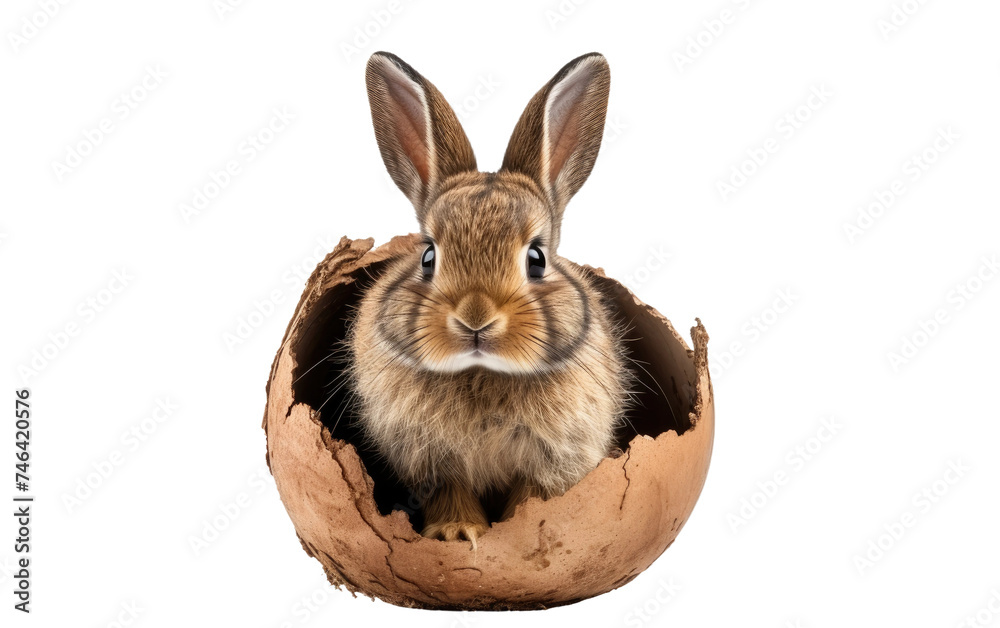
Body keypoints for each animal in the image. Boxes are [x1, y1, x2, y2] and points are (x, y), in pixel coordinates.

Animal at [346, 51, 634, 547]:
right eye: (428, 256)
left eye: (537, 258)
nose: (475, 319)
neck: (483, 372)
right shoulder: (432, 460)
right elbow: (451, 491)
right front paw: (457, 532)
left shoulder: (551, 457)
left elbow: (530, 499)